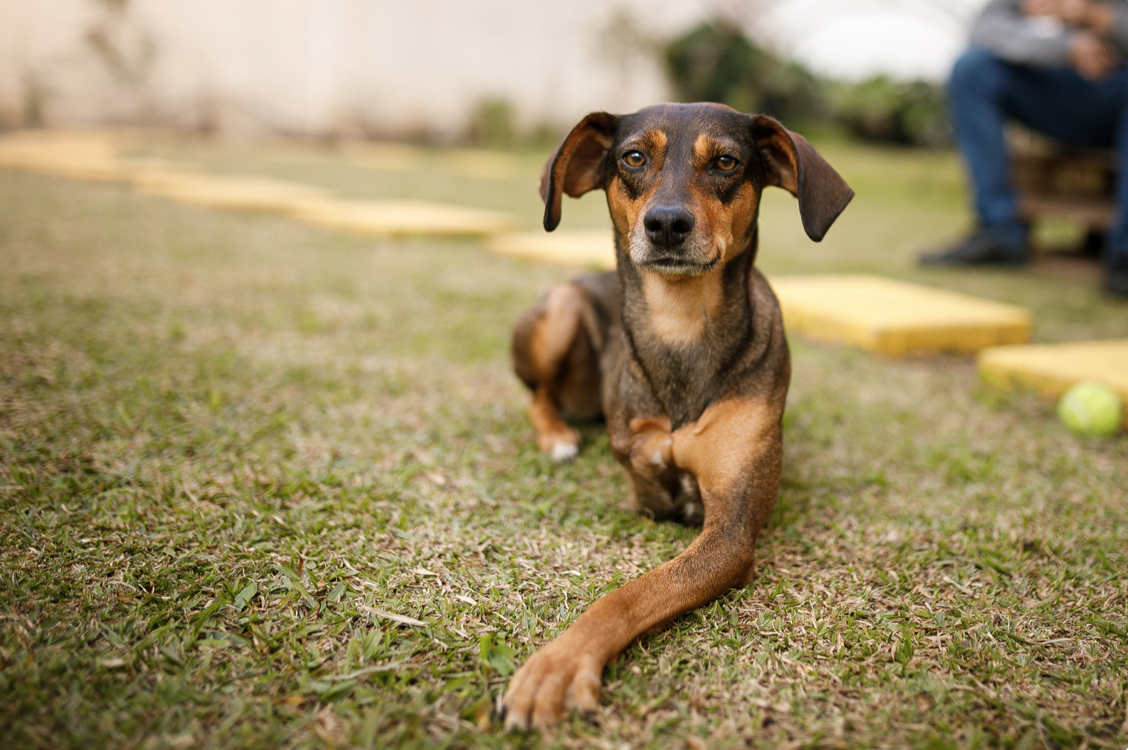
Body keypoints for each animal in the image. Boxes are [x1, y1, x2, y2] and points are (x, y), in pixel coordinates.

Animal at [505, 102, 852, 726]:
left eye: (727, 162)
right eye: (633, 157)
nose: (666, 224)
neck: (681, 326)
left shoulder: (730, 532)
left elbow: (634, 592)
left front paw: (559, 663)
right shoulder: (645, 473)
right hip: (561, 309)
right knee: (537, 393)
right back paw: (557, 436)